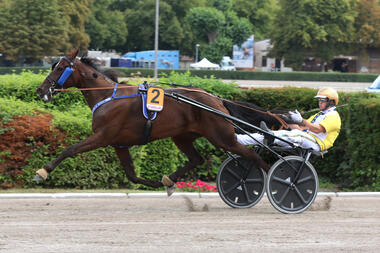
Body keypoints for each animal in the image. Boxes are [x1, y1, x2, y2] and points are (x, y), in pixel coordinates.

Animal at [35, 49, 290, 194]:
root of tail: (217, 99)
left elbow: (70, 150)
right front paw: (160, 183)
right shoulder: (119, 143)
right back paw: (170, 179)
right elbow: (131, 174)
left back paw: (281, 181)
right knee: (197, 159)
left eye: (59, 67)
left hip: (222, 137)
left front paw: (43, 171)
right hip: (183, 136)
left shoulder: (102, 136)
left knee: (256, 157)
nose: (40, 90)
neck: (107, 96)